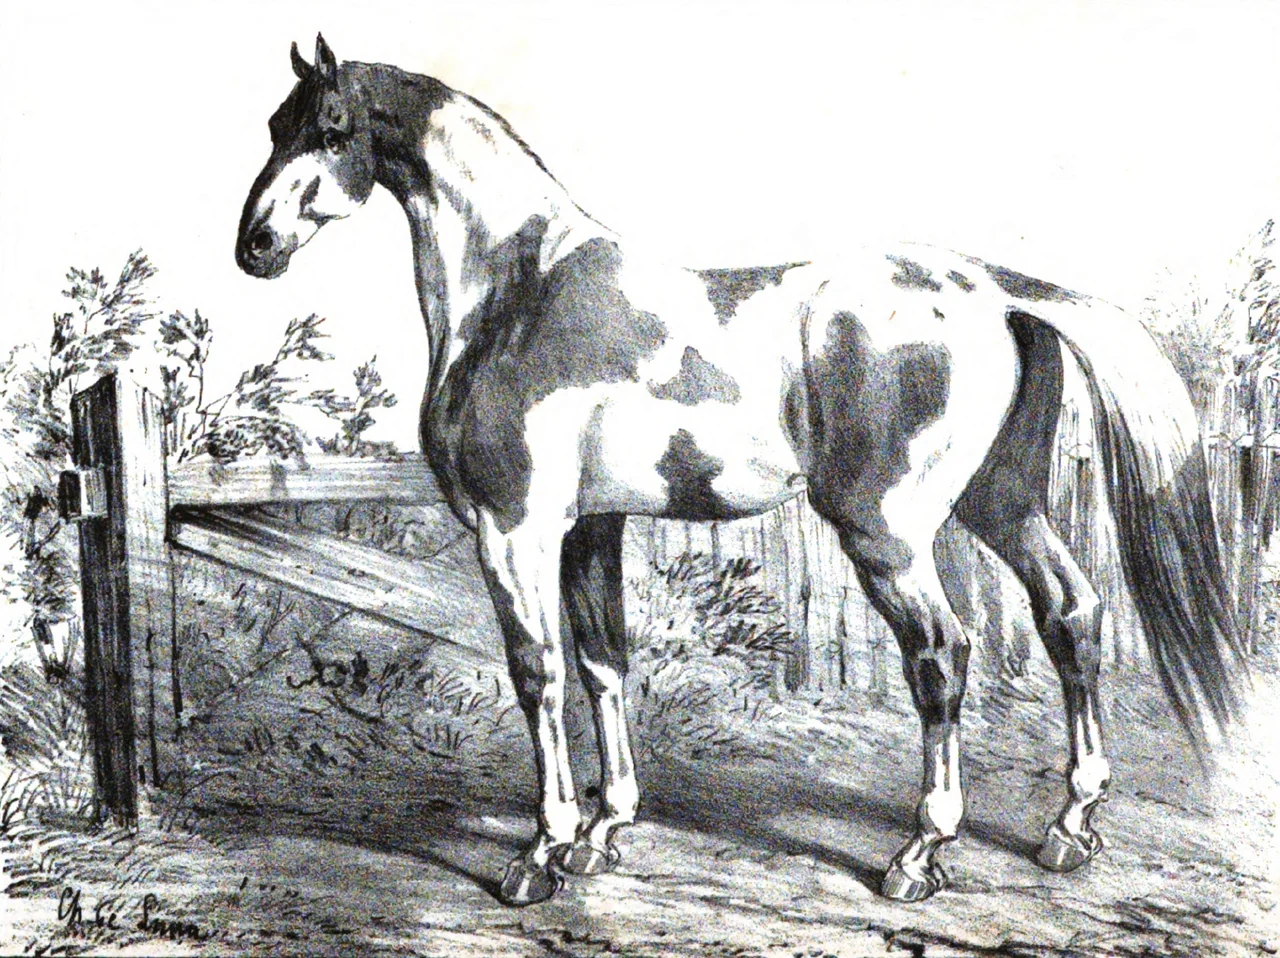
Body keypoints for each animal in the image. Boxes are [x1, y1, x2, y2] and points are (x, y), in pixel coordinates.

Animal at [235, 35, 1247, 906]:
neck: (519, 292)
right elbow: (604, 664)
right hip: (1003, 504)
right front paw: (603, 835)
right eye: (276, 125)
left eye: (331, 127)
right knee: (1072, 614)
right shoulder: (591, 526)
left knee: (942, 653)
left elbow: (538, 673)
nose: (256, 245)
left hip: (888, 531)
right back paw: (1070, 829)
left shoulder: (514, 527)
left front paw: (540, 854)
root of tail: (996, 294)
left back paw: (920, 853)